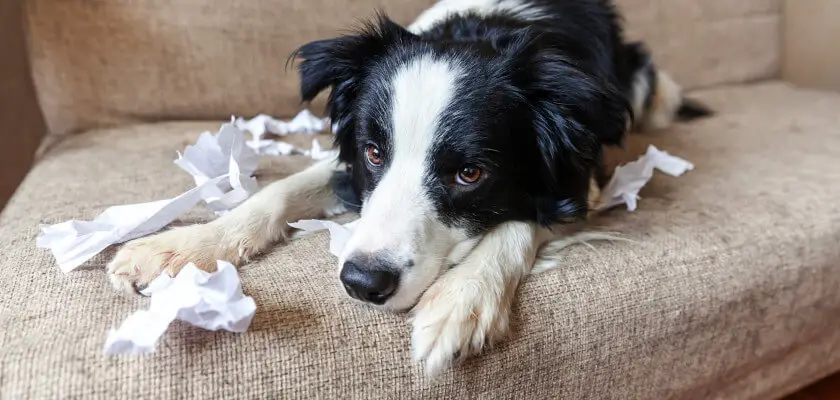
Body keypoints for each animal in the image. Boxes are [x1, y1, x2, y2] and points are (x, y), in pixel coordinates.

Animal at [105, 0, 708, 376]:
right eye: (375, 152)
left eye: (470, 174)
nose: (361, 283)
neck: (482, 30)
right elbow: (278, 192)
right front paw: (179, 249)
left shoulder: (580, 178)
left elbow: (518, 222)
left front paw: (460, 303)